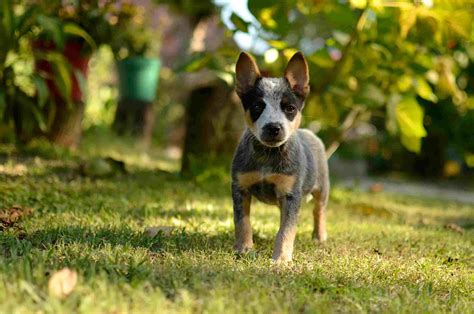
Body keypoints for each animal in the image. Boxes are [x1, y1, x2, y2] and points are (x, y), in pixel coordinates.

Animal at [231, 51, 330, 262]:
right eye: (257, 106)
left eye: (290, 108)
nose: (273, 127)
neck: (267, 157)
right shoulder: (240, 188)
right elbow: (242, 222)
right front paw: (243, 248)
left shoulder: (291, 195)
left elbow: (286, 229)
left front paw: (282, 258)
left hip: (322, 189)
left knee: (319, 211)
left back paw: (319, 236)